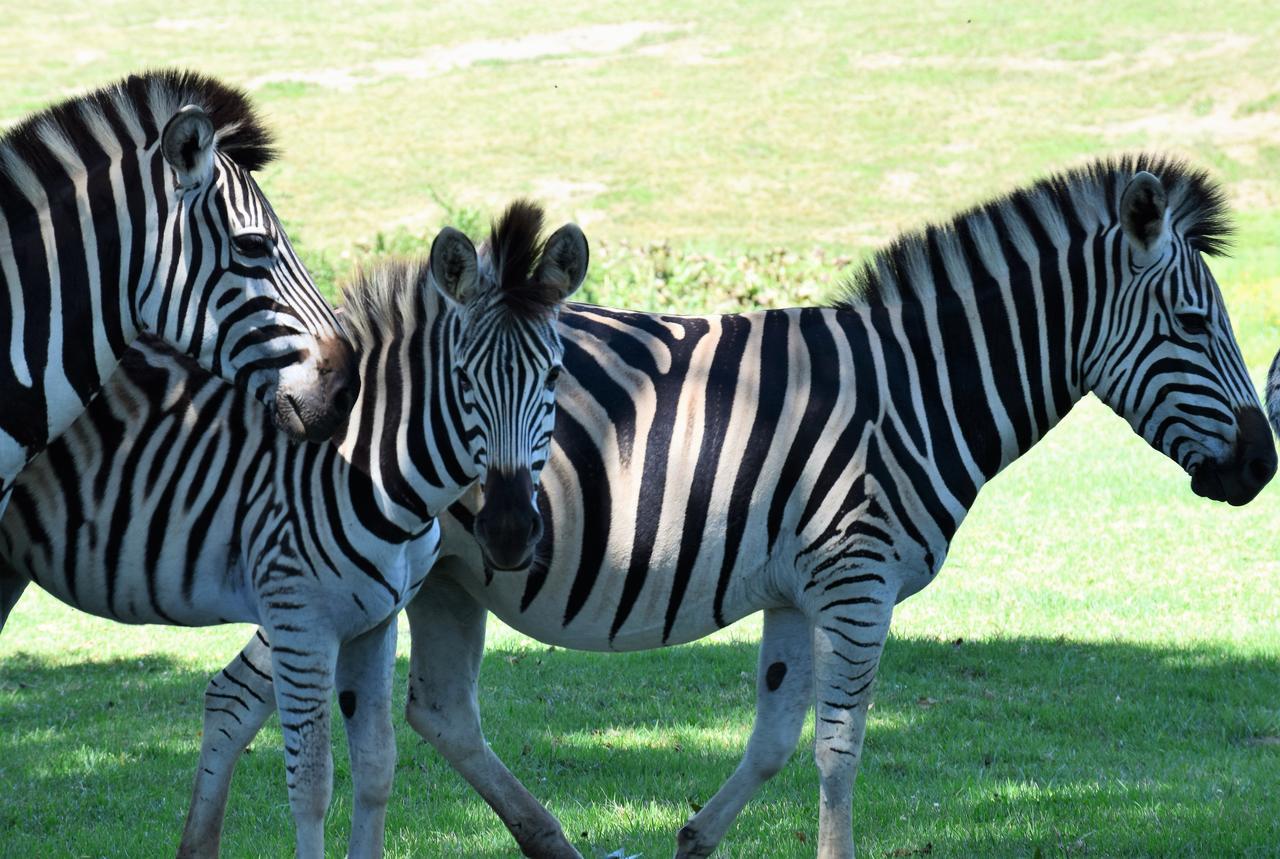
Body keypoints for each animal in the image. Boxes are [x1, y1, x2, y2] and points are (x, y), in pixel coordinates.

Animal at [0, 199, 588, 859]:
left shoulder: (375, 623)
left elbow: (376, 767)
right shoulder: (301, 624)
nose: (510, 532)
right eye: (463, 379)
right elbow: (311, 782)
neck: (370, 464)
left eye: (554, 376)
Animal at [167, 156, 1269, 859]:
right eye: (1191, 322)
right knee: (239, 693)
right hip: (353, 570)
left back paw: (551, 841)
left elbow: (778, 735)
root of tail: (316, 354)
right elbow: (838, 747)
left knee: (435, 709)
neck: (912, 391)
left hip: (441, 575)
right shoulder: (858, 578)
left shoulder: (799, 588)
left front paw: (693, 836)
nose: (1262, 467)